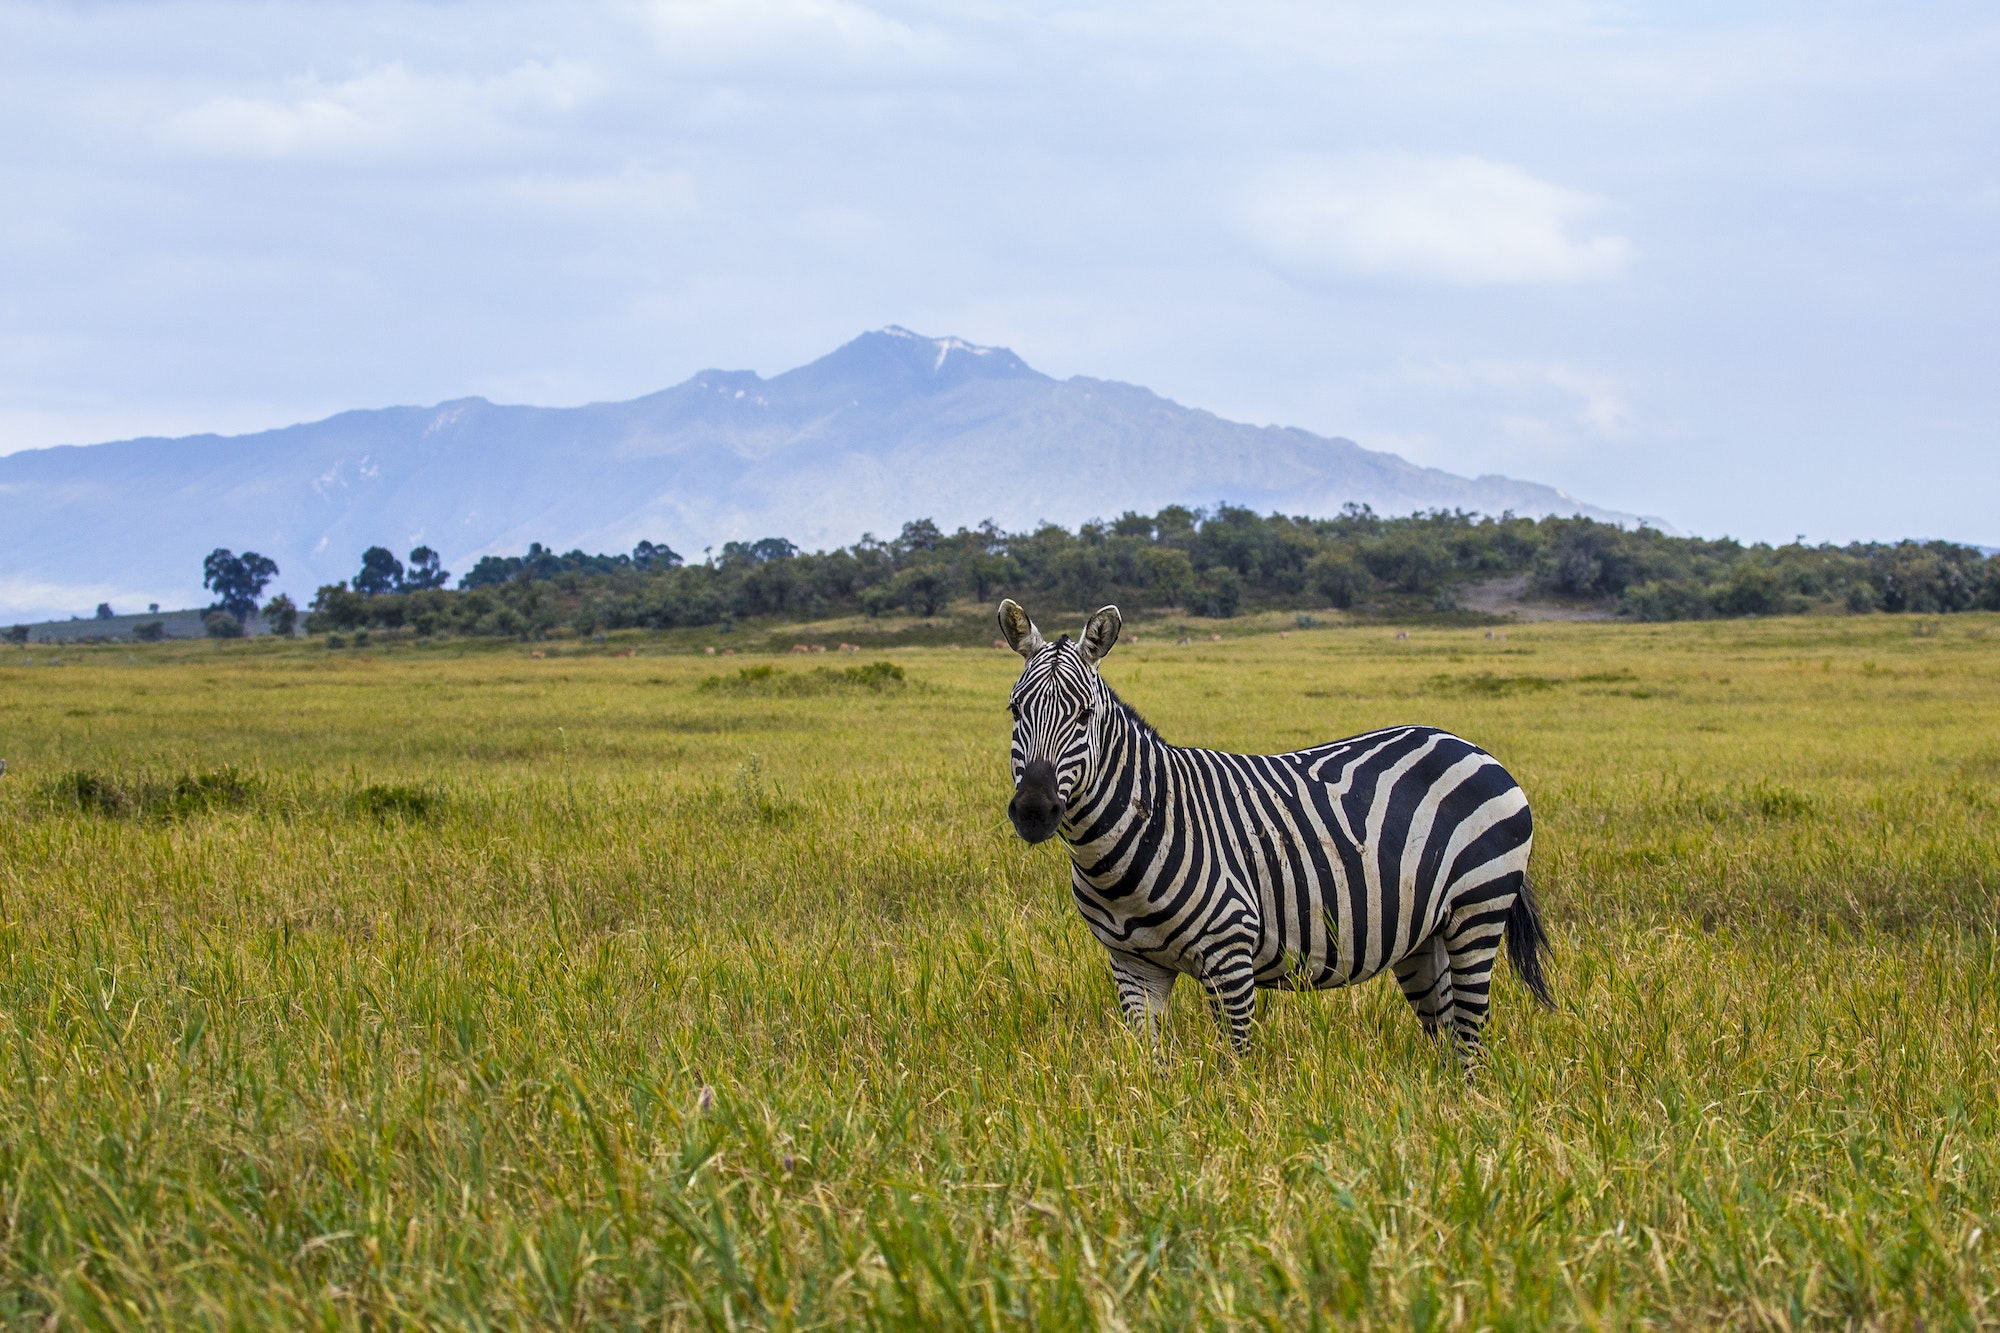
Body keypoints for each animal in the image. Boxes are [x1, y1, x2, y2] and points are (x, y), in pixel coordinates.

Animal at [996, 600, 1544, 1048]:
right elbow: (1147, 1066)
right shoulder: (1133, 964)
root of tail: (1470, 746)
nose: (1034, 810)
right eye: (1015, 709)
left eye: (1085, 715)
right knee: (1450, 1041)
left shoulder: (1229, 953)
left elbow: (1234, 1068)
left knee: (1471, 1035)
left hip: (1478, 909)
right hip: (1425, 935)